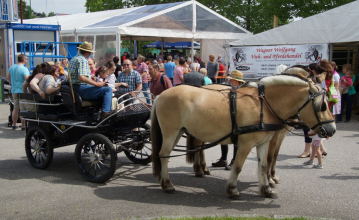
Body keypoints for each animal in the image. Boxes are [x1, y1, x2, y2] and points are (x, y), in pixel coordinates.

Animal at [150, 73, 336, 199]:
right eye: (323, 105)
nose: (332, 130)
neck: (263, 104)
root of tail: (160, 95)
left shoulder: (264, 142)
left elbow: (264, 165)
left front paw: (266, 189)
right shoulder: (246, 144)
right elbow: (238, 166)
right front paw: (232, 189)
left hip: (179, 131)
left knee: (168, 154)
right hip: (170, 132)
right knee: (163, 155)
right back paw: (167, 185)